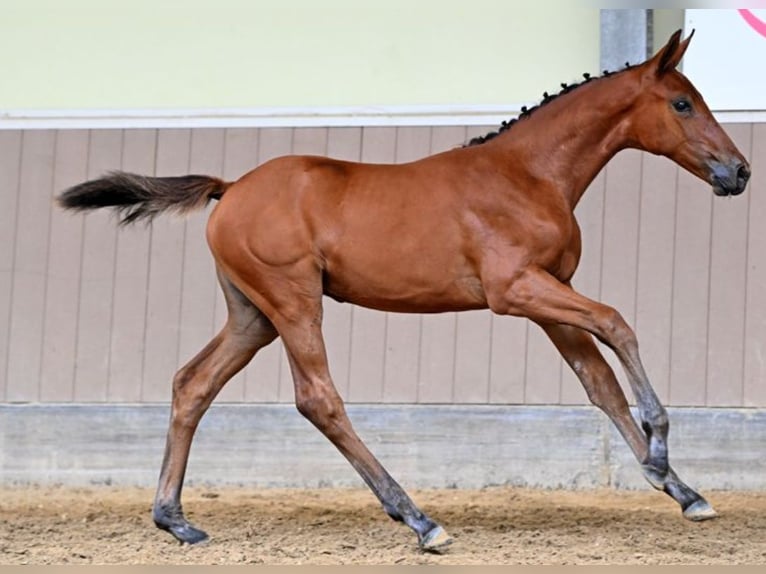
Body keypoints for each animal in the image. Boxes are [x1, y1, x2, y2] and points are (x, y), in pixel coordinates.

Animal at [57, 30, 750, 552]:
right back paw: (420, 520)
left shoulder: (551, 294)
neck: (526, 175)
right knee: (318, 399)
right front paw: (660, 451)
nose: (739, 172)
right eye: (683, 104)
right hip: (293, 302)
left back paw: (176, 520)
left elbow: (599, 382)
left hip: (252, 315)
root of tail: (230, 189)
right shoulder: (516, 290)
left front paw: (683, 491)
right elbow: (617, 322)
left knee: (192, 383)